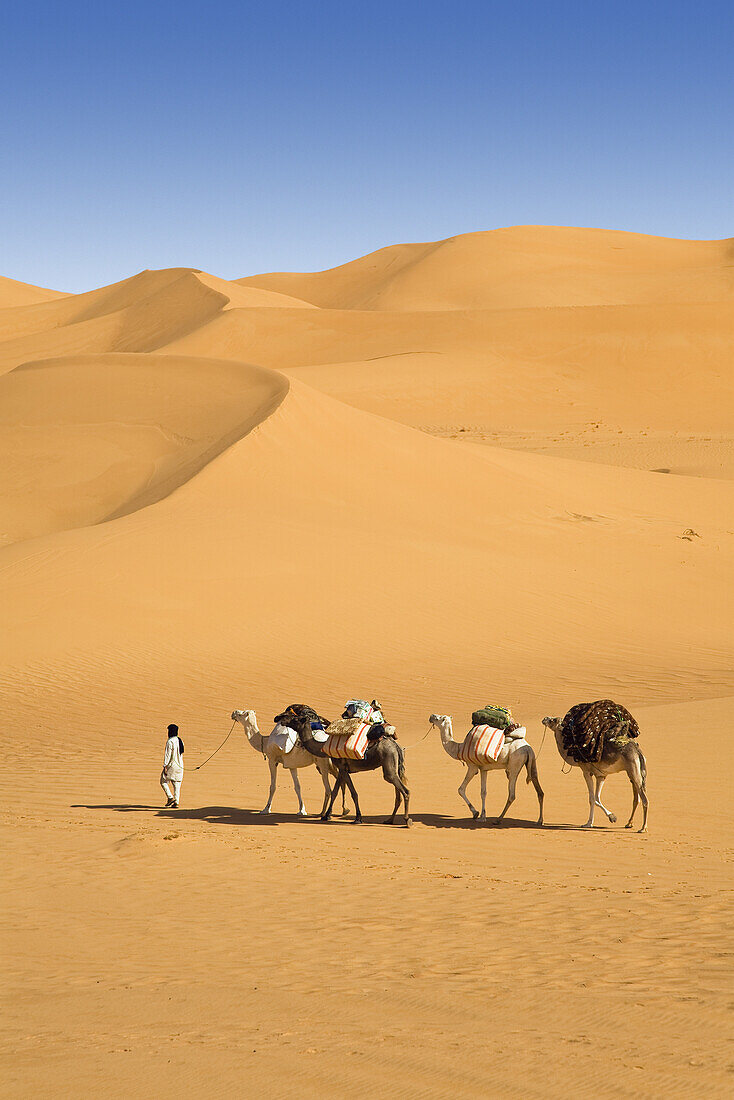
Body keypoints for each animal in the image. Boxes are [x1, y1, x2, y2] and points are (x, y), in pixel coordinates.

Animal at [275, 712, 413, 827]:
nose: (281, 720)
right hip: (395, 767)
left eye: (296, 719)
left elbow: (353, 793)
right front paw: (327, 815)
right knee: (398, 795)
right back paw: (389, 820)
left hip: (389, 764)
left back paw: (407, 820)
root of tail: (396, 746)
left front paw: (357, 818)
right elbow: (335, 791)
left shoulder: (342, 767)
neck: (322, 746)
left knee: (405, 791)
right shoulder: (341, 769)